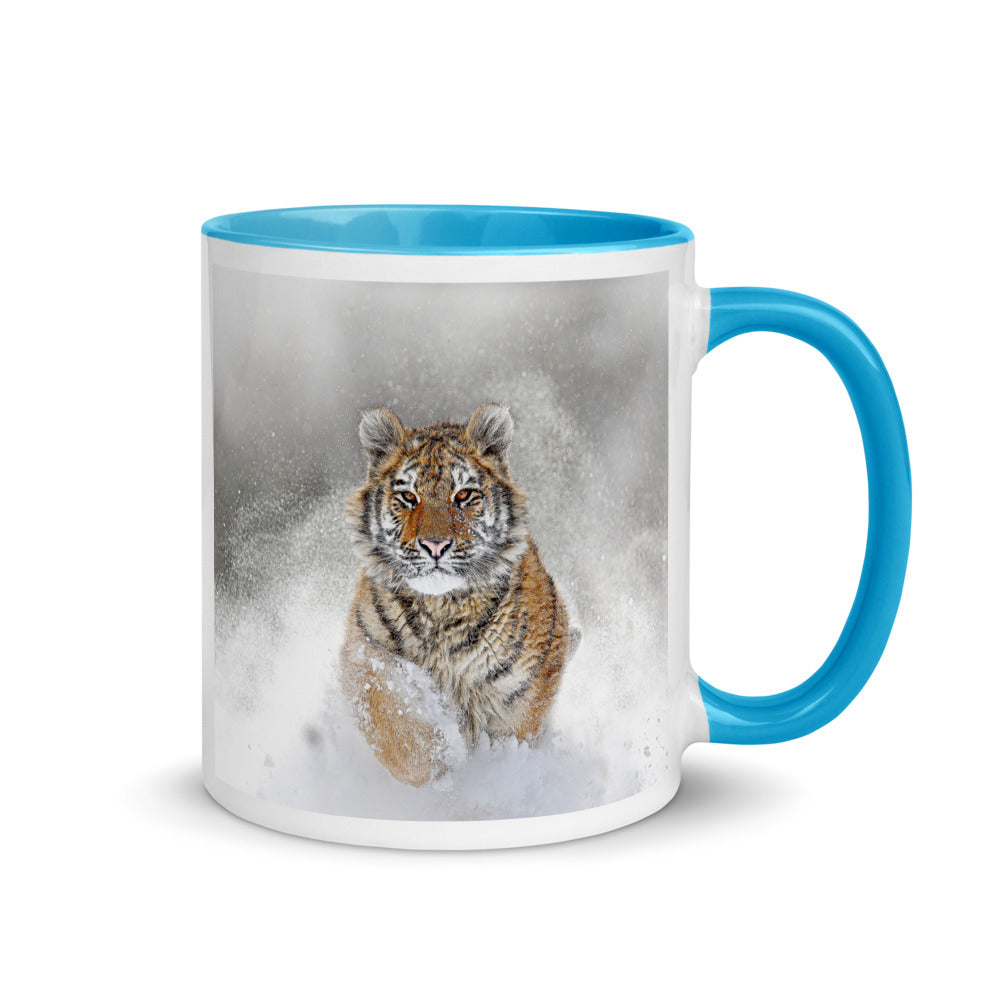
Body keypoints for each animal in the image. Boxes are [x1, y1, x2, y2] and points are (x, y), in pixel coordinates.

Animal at [340, 403, 579, 787]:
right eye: (409, 496)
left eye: (463, 495)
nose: (435, 545)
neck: (441, 609)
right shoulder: (364, 652)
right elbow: (395, 721)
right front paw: (441, 759)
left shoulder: (521, 692)